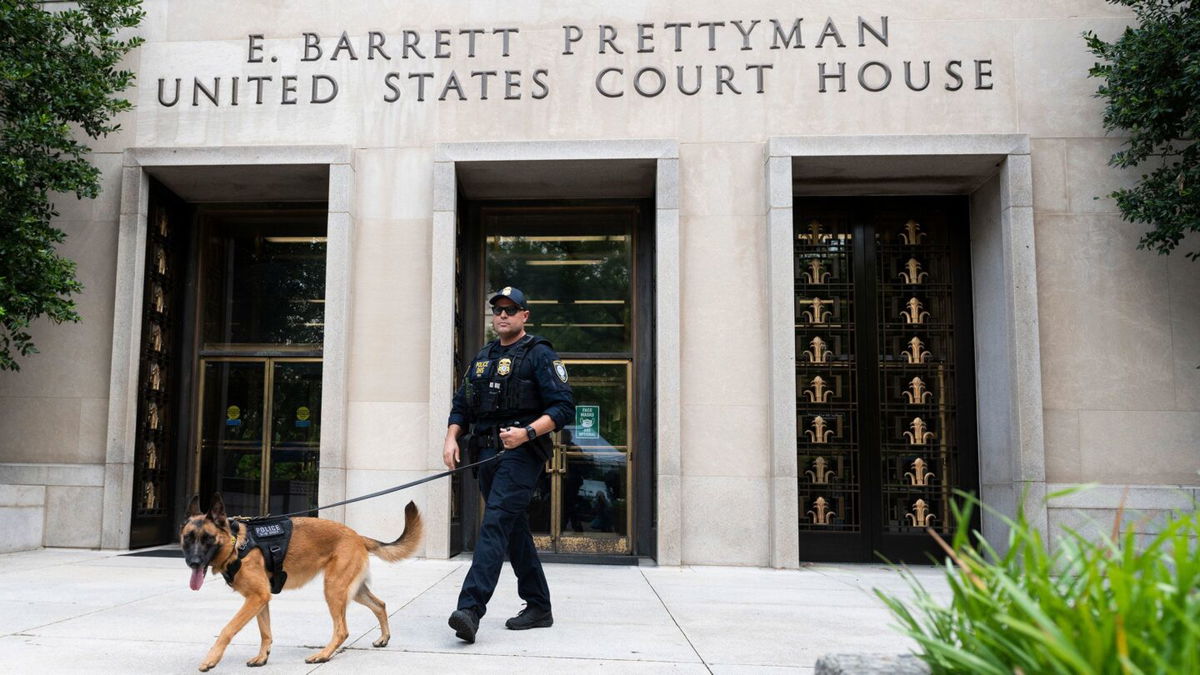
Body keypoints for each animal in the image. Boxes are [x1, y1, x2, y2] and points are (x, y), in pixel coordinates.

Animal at [177, 492, 422, 667]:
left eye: (208, 539)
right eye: (187, 539)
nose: (194, 563)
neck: (236, 544)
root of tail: (358, 536)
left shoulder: (257, 597)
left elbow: (228, 629)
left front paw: (211, 660)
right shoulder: (260, 599)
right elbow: (265, 632)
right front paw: (262, 657)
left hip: (333, 589)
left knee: (342, 630)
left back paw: (323, 655)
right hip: (352, 590)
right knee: (380, 605)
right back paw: (384, 638)